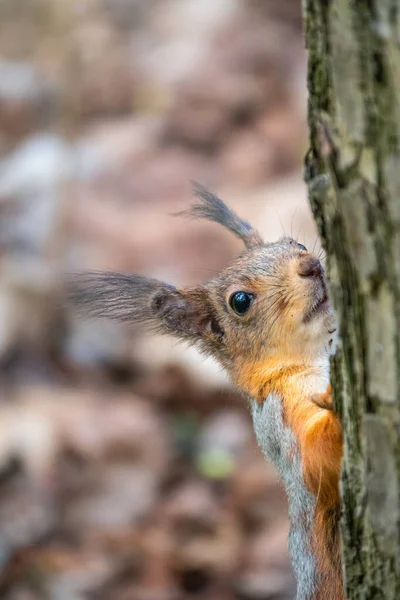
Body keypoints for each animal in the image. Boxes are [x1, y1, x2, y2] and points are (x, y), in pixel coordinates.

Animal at [69, 183, 344, 600]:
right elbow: (314, 463)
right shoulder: (279, 419)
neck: (311, 357)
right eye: (240, 301)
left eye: (294, 242)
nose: (310, 264)